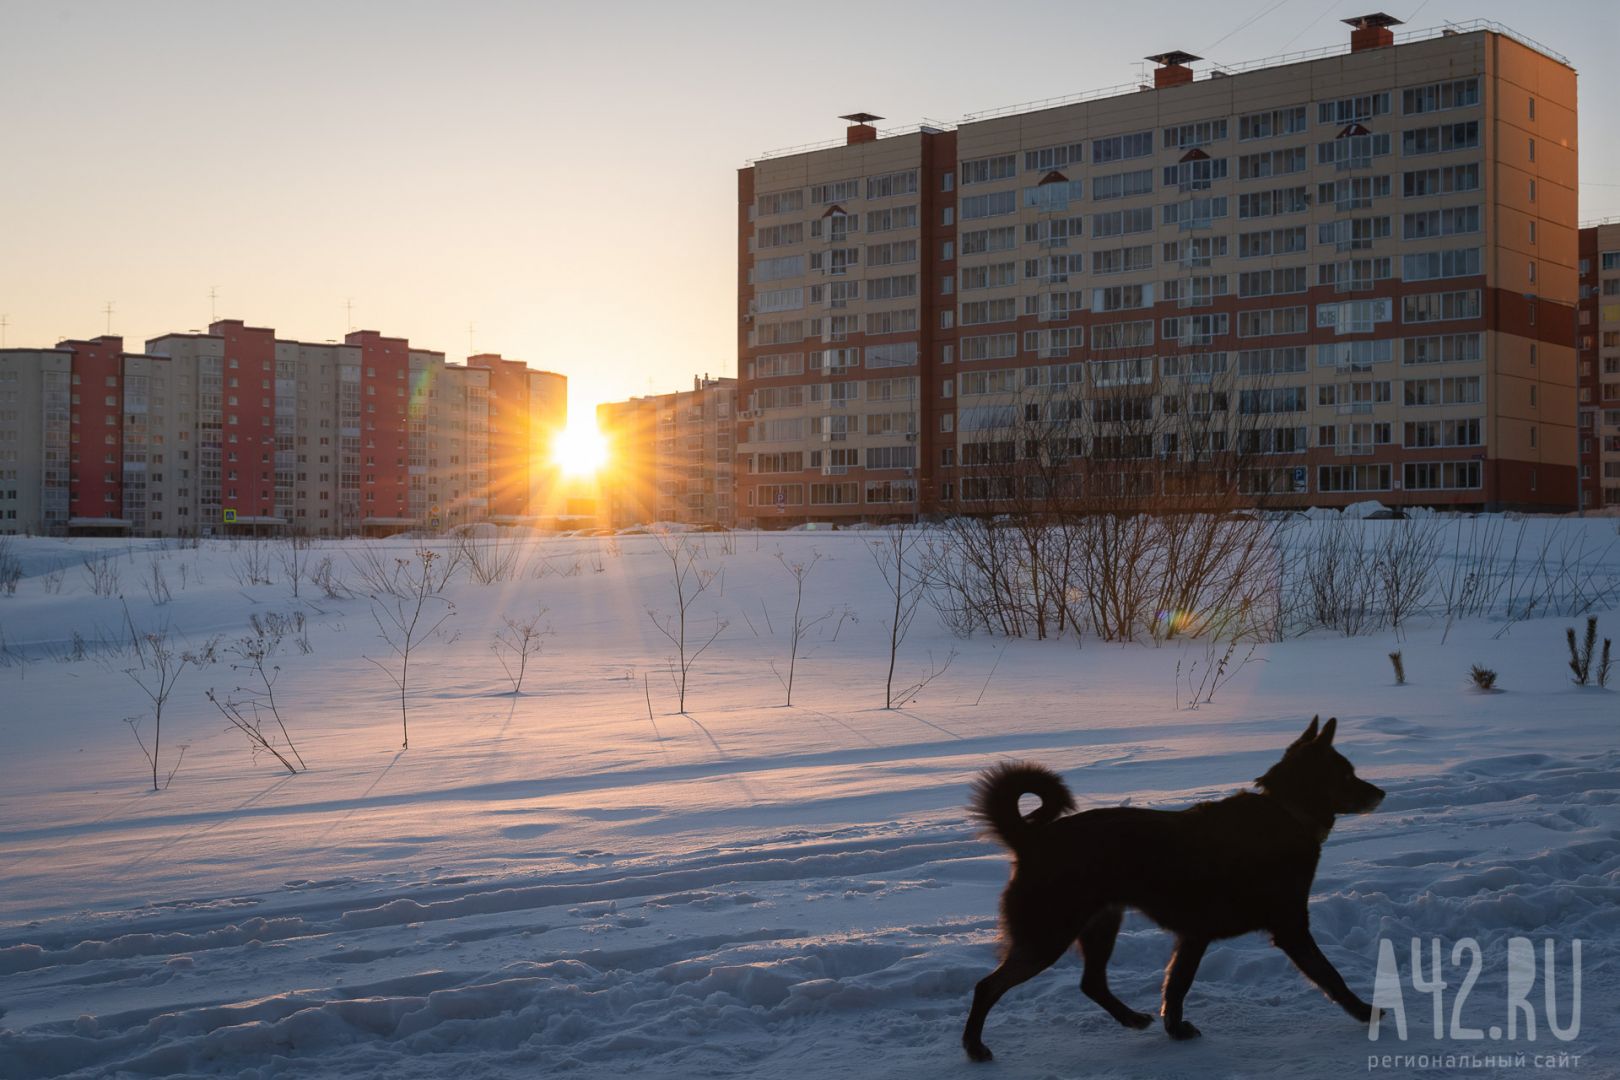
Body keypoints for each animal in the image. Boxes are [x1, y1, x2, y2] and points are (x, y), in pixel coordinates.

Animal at [952, 712, 1386, 1062]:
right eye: (1347, 774)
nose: (1381, 793)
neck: (1287, 812)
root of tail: (1031, 840)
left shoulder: (1194, 935)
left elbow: (1176, 987)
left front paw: (1175, 1030)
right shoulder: (1289, 929)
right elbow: (1331, 976)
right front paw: (1365, 1012)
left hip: (1101, 924)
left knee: (1091, 982)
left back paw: (1131, 1018)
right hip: (1047, 937)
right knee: (986, 987)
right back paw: (974, 1047)